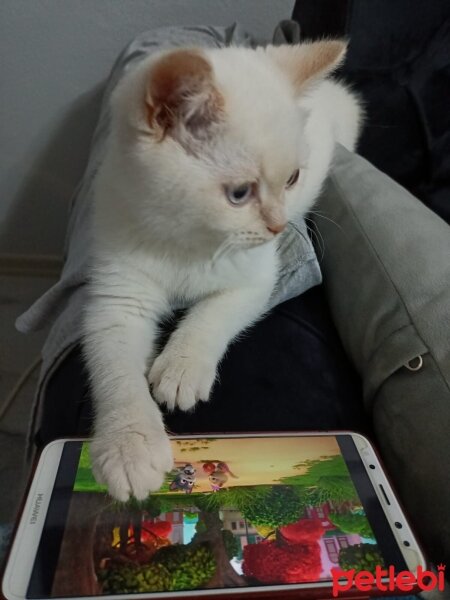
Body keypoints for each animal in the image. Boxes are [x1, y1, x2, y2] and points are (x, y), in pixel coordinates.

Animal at [81, 41, 362, 502]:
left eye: (292, 178)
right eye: (239, 193)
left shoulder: (256, 279)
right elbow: (115, 369)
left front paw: (181, 368)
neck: (188, 241)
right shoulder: (117, 297)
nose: (278, 226)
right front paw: (128, 446)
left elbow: (210, 316)